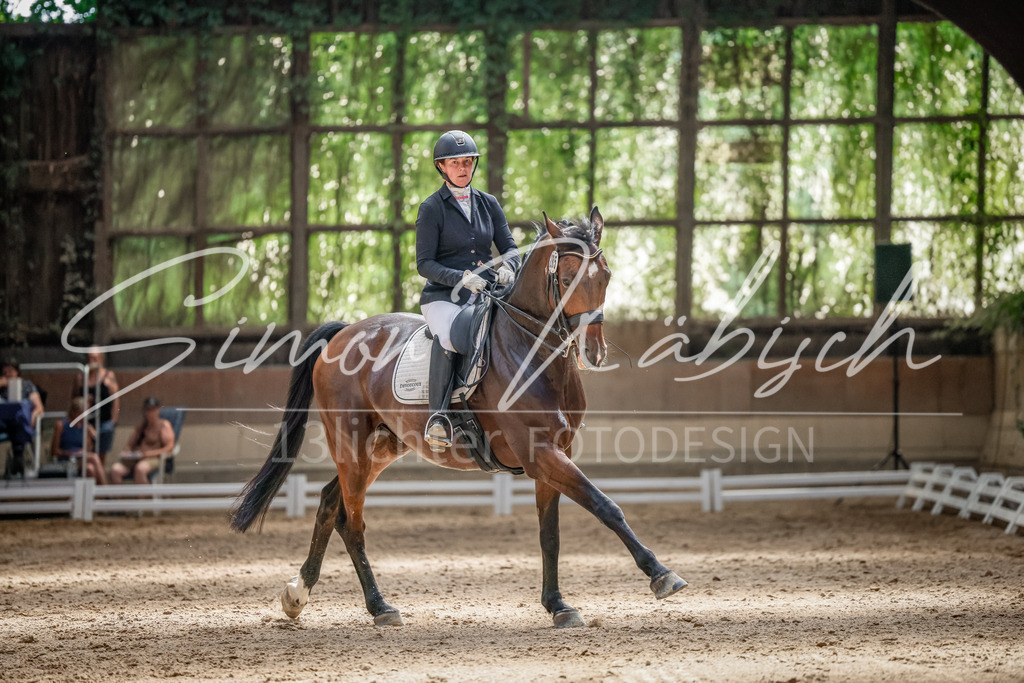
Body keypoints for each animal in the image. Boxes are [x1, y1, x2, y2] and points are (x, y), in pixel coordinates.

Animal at [231, 207, 687, 628]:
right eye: (568, 276)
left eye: (605, 275)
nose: (593, 352)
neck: (532, 350)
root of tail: (343, 333)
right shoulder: (540, 454)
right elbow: (605, 505)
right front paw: (661, 575)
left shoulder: (555, 453)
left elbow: (550, 533)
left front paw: (558, 605)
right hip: (350, 443)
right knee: (352, 522)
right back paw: (380, 607)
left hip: (382, 446)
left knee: (330, 503)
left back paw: (297, 594)